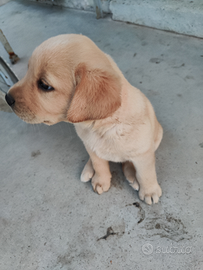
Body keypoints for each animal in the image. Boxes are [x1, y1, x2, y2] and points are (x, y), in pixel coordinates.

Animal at [5, 34, 163, 206]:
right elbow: (99, 164)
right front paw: (101, 181)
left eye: (44, 85)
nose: (6, 98)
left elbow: (145, 174)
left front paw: (149, 191)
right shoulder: (92, 147)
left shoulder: (143, 154)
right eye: (28, 71)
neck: (103, 126)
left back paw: (131, 175)